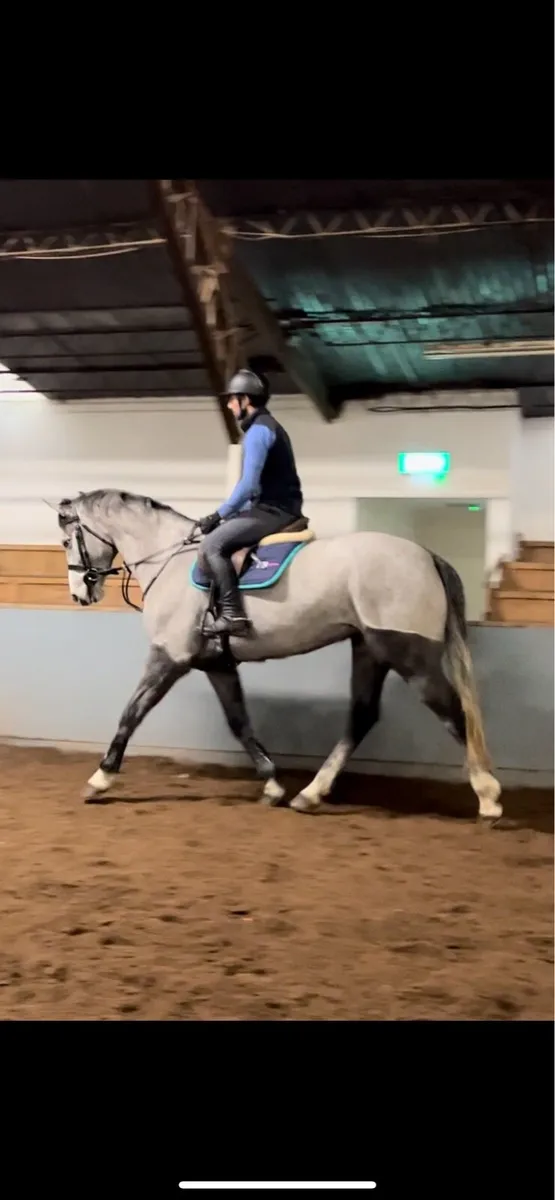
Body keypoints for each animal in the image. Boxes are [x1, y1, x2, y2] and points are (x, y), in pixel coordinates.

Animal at [55, 488, 502, 822]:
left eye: (66, 540)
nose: (80, 594)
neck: (170, 561)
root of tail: (427, 555)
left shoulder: (170, 656)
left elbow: (132, 713)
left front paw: (100, 779)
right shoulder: (217, 664)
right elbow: (239, 723)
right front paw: (272, 784)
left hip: (408, 653)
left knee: (452, 710)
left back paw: (489, 797)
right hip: (369, 649)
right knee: (362, 716)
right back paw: (310, 794)